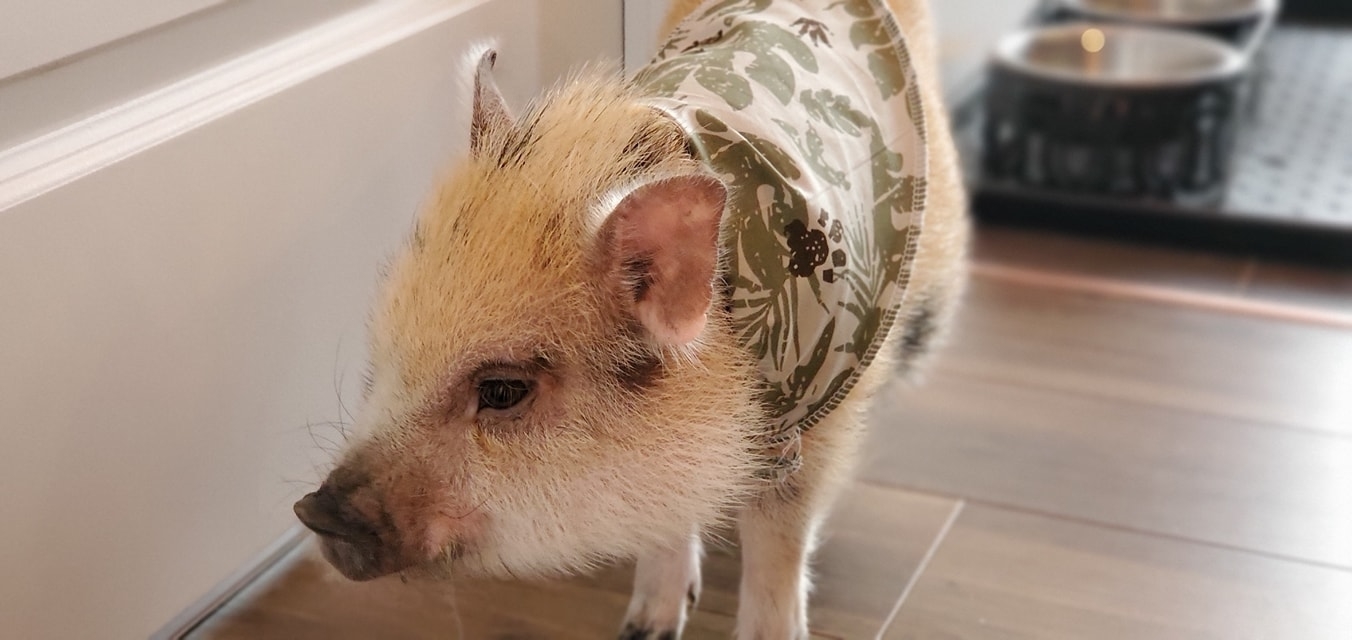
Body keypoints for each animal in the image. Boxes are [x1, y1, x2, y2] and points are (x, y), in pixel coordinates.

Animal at [292, 0, 968, 637]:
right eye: (383, 355)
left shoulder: (818, 418)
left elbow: (779, 545)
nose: (314, 511)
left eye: (503, 390)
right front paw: (645, 631)